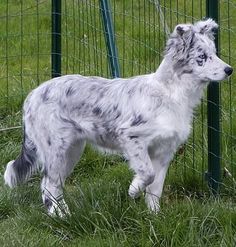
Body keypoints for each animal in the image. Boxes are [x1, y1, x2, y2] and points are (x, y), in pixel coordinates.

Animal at [3, 18, 232, 216]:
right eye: (202, 57)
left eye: (214, 53)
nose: (229, 70)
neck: (170, 93)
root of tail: (32, 95)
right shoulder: (131, 137)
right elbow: (147, 173)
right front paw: (133, 189)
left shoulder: (164, 151)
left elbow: (155, 188)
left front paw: (154, 217)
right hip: (55, 148)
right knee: (47, 184)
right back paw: (60, 217)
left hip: (72, 150)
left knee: (55, 184)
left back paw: (64, 213)